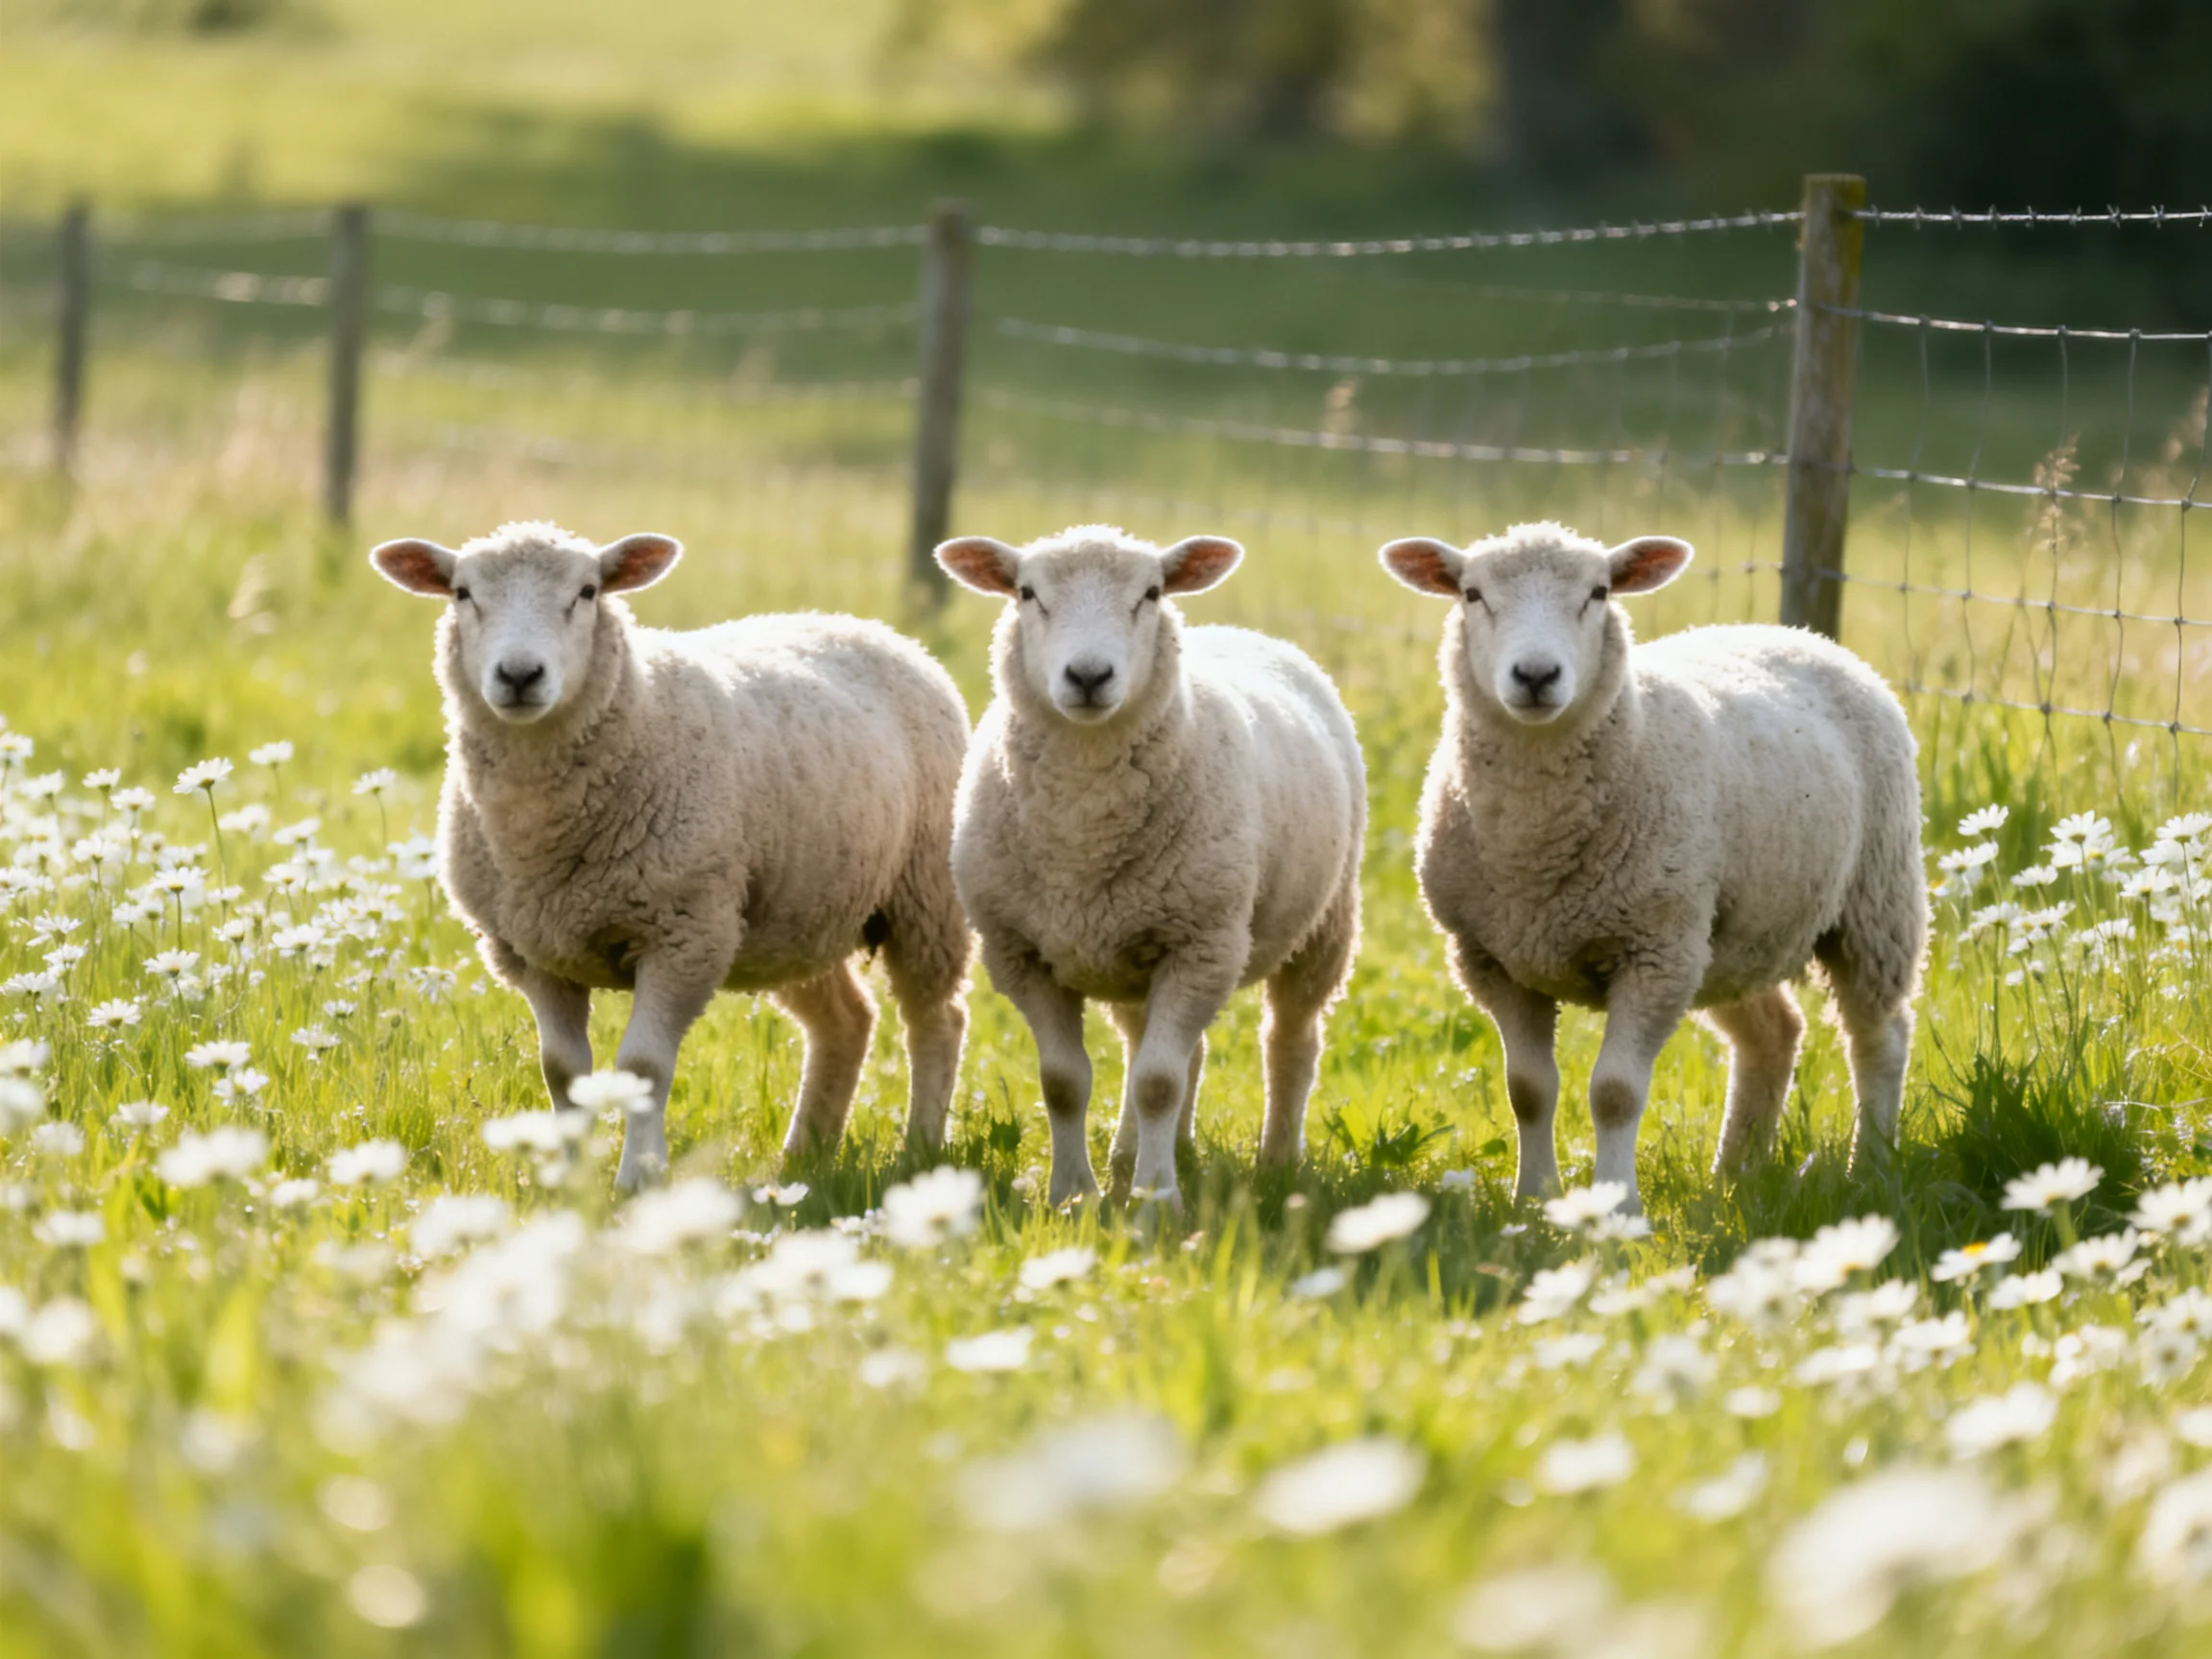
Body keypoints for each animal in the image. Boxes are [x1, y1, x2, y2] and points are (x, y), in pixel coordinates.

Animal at [370, 520, 972, 1189]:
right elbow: (562, 1071)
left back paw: (919, 1147)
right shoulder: (532, 953)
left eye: (587, 591)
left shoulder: (683, 934)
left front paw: (637, 1179)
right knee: (846, 1020)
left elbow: (643, 1067)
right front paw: (570, 1182)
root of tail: (870, 627)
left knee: (936, 1018)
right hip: (794, 916)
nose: (520, 675)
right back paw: (804, 1155)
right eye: (462, 593)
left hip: (924, 897)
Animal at [935, 524, 1366, 1210]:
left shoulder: (1202, 943)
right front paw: (1072, 1195)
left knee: (1290, 1041)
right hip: (1130, 948)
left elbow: (1158, 1083)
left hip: (1322, 925)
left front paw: (1157, 1201)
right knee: (1162, 1045)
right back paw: (1137, 1152)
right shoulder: (1021, 953)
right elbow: (1065, 1081)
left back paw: (1276, 1159)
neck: (1084, 825)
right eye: (1027, 593)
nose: (1088, 675)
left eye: (1152, 593)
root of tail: (1238, 631)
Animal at [1379, 520, 1925, 1209]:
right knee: (1774, 1033)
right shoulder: (1492, 959)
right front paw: (1534, 1200)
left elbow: (1614, 1093)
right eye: (1472, 594)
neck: (1534, 846)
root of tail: (1801, 635)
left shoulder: (1653, 952)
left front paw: (1615, 1204)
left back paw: (1870, 1165)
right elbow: (1527, 1089)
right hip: (1728, 940)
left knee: (1880, 1037)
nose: (1536, 675)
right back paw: (1734, 1174)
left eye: (1599, 593)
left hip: (1872, 903)